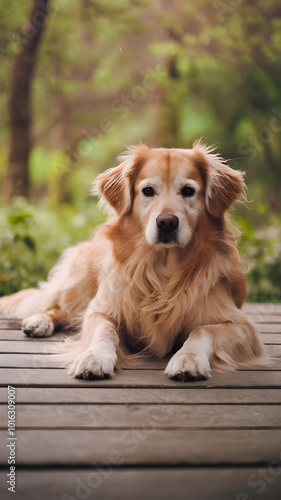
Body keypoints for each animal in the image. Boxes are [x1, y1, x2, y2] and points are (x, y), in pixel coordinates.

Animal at [0, 141, 264, 378]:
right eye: (148, 190)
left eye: (188, 191)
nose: (166, 222)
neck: (162, 270)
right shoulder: (102, 309)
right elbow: (104, 331)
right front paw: (94, 357)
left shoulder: (241, 326)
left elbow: (203, 330)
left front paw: (188, 359)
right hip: (80, 280)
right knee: (57, 306)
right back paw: (39, 321)